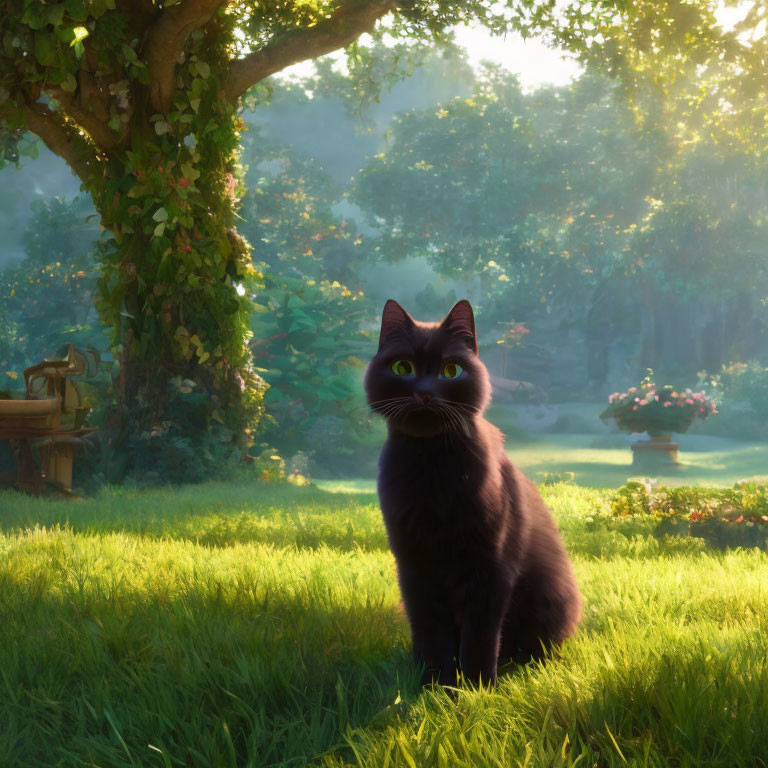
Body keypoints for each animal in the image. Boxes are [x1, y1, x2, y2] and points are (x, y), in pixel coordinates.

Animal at [366, 298, 584, 684]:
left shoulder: (490, 566)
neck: (431, 465)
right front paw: (434, 685)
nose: (424, 392)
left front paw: (476, 687)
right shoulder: (414, 565)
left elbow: (480, 635)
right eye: (402, 367)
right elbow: (430, 632)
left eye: (450, 370)